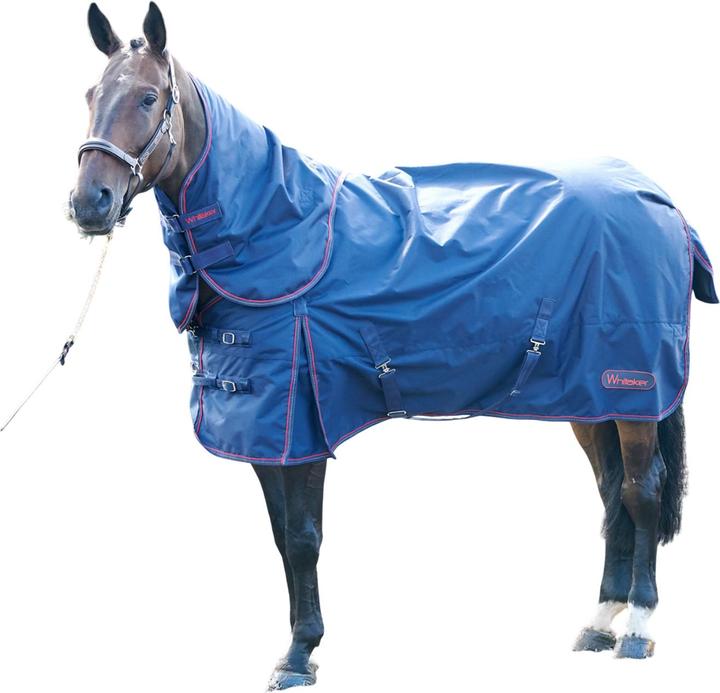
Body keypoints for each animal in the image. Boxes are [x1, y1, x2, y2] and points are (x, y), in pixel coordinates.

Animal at [68, 3, 717, 689]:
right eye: (90, 95)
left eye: (148, 97)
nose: (89, 203)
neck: (277, 230)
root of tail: (661, 201)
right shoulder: (262, 426)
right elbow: (281, 537)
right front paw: (297, 646)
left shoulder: (300, 420)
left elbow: (303, 537)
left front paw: (300, 653)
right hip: (588, 398)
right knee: (611, 492)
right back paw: (600, 621)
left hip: (634, 389)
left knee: (642, 492)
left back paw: (638, 627)